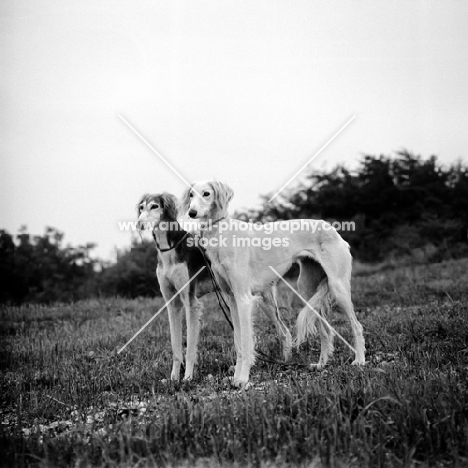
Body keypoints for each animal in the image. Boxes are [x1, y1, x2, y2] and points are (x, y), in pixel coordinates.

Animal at [135, 193, 290, 380]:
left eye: (154, 206)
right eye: (141, 208)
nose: (139, 224)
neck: (169, 250)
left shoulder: (191, 303)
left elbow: (190, 348)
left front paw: (187, 378)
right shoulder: (172, 304)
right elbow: (175, 347)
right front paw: (173, 379)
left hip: (263, 299)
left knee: (284, 332)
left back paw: (285, 362)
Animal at [181, 181, 368, 386]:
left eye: (206, 193)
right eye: (191, 195)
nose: (192, 213)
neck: (222, 232)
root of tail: (331, 228)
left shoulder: (244, 299)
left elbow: (245, 342)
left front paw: (243, 379)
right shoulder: (232, 300)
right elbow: (238, 343)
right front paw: (236, 377)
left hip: (338, 287)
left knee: (356, 325)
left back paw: (359, 360)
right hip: (307, 290)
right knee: (326, 331)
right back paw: (321, 364)